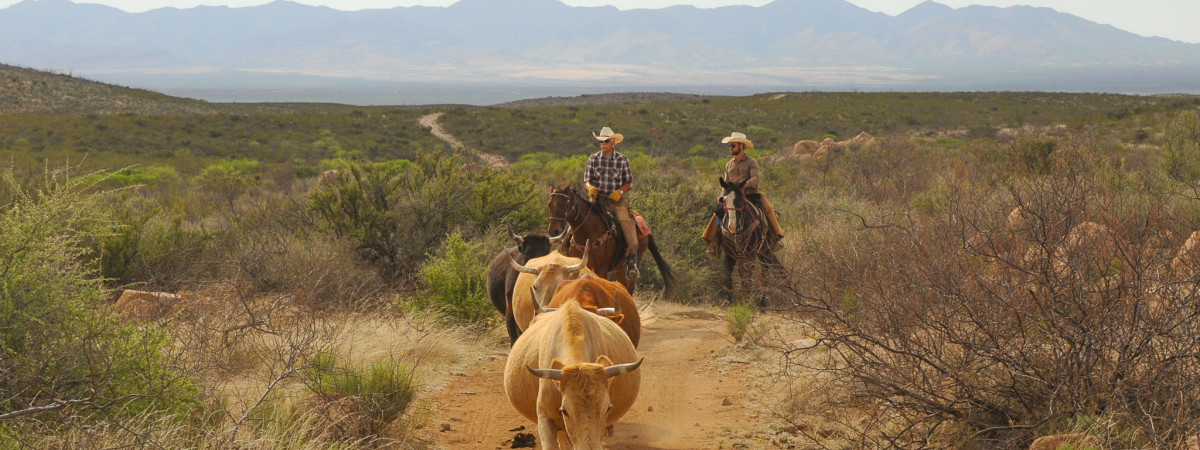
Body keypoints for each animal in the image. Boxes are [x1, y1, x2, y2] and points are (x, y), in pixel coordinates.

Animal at [547, 183, 676, 300]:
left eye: (564, 204)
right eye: (549, 204)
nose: (554, 230)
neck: (588, 234)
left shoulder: (601, 269)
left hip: (635, 260)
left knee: (630, 286)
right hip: (619, 269)